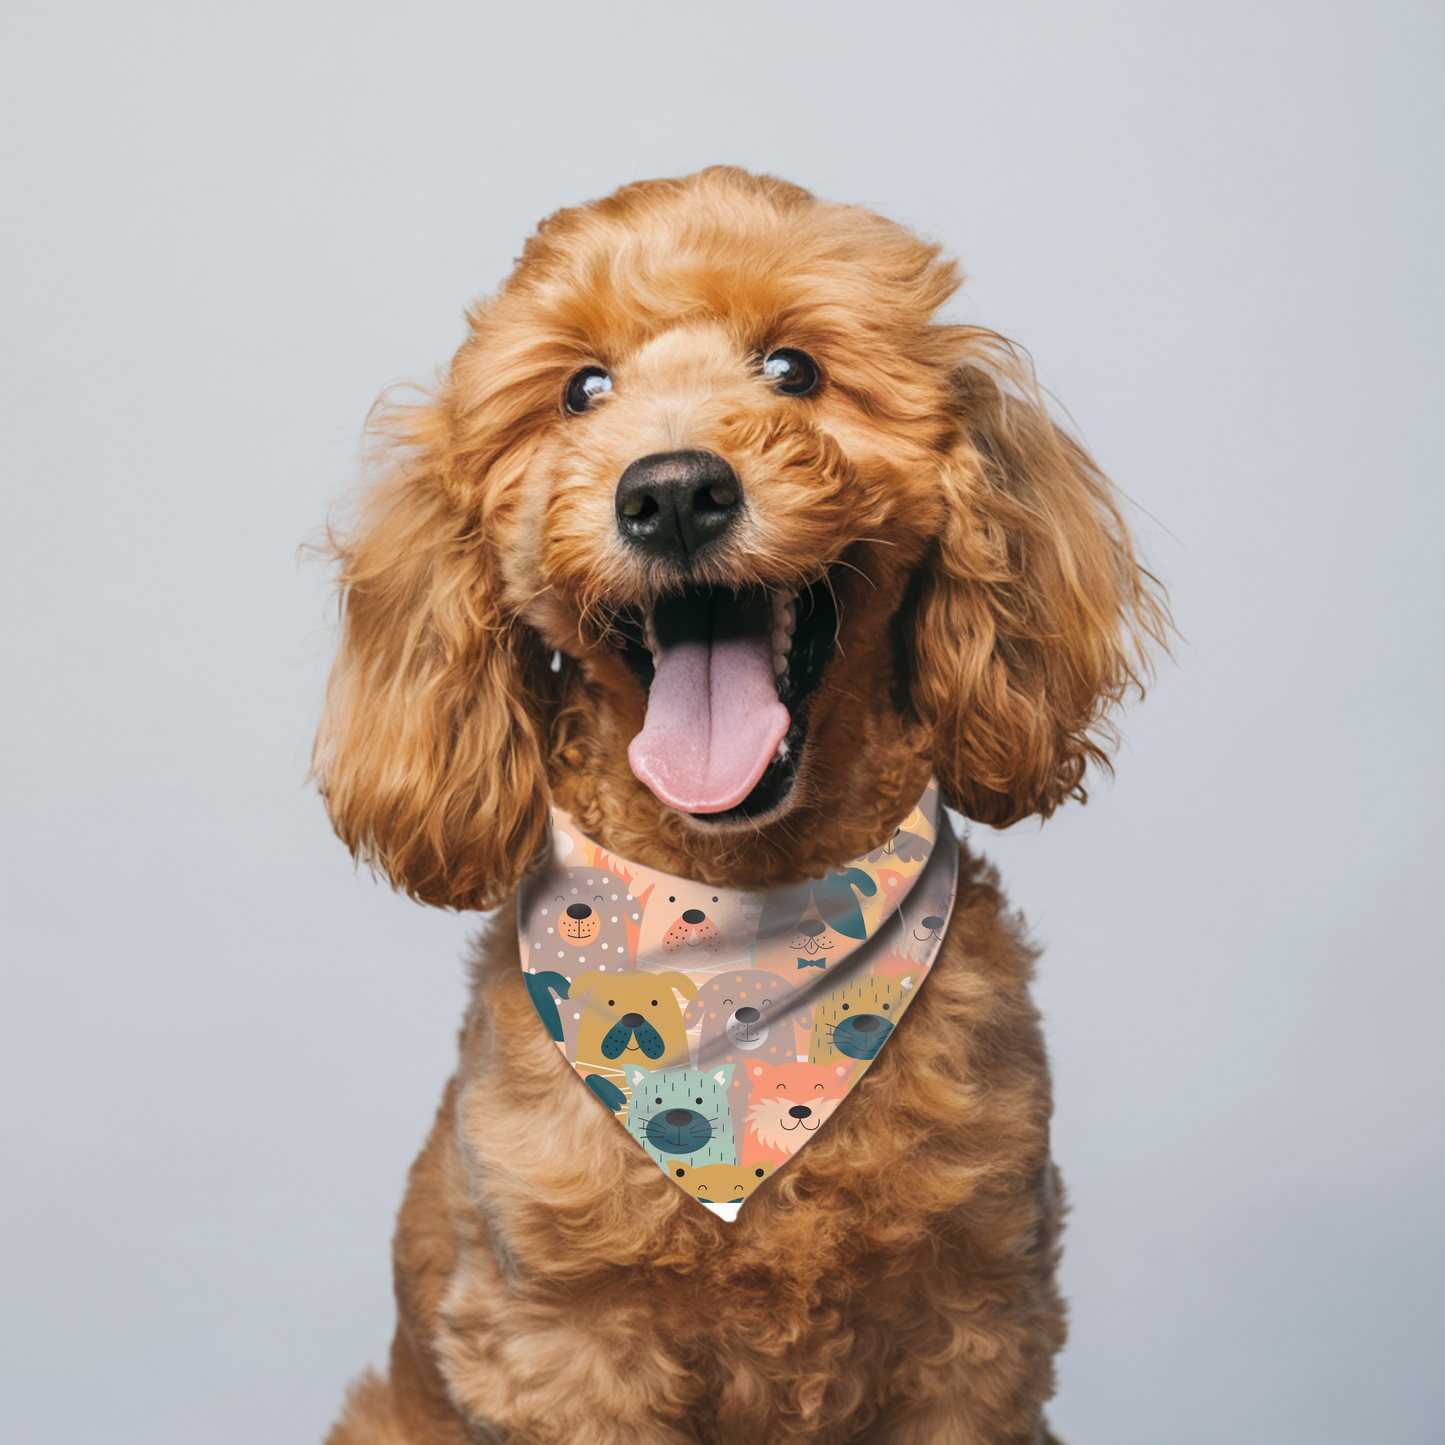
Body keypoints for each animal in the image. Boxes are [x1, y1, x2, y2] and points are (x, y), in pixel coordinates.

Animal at [313, 164, 1161, 1439]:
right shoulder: (563, 1347)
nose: (671, 491)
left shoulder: (975, 1328)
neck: (741, 928)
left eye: (792, 368)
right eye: (581, 390)